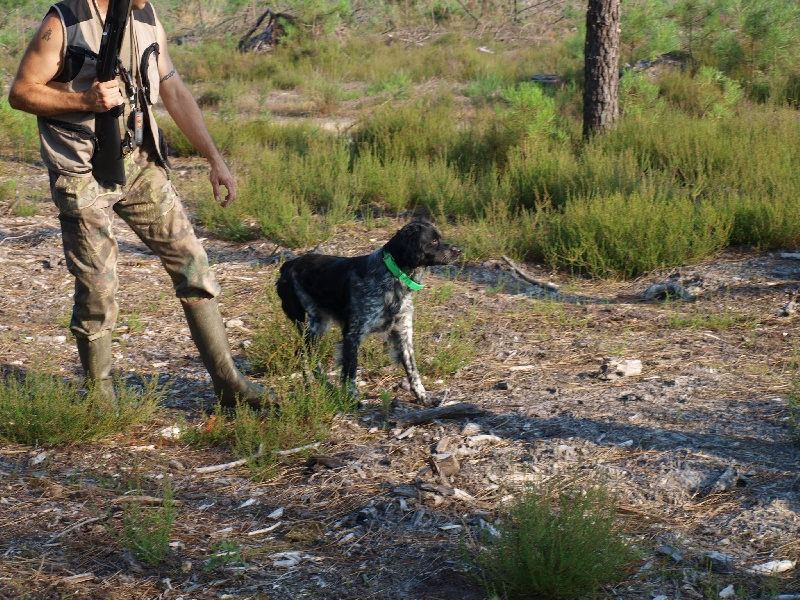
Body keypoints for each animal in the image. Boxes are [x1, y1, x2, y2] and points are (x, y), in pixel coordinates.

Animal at [276, 218, 460, 406]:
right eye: (434, 241)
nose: (458, 250)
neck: (393, 276)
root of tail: (288, 264)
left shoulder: (403, 330)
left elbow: (412, 369)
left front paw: (423, 396)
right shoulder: (352, 334)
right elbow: (350, 372)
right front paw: (352, 399)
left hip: (318, 323)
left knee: (305, 352)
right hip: (306, 322)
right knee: (305, 353)